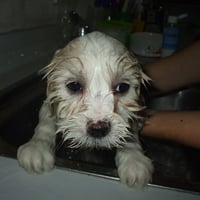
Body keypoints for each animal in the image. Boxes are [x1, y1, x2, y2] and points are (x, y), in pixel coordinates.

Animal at [17, 31, 153, 189]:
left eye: (122, 87)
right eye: (74, 85)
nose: (98, 128)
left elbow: (129, 132)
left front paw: (134, 159)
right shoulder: (50, 103)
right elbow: (45, 123)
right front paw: (37, 146)